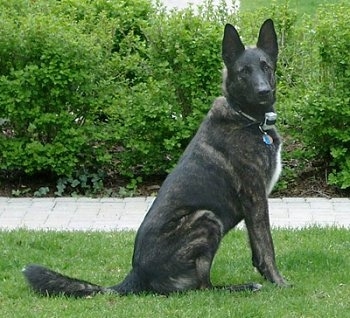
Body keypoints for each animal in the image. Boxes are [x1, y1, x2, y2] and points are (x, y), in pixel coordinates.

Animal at [22, 19, 290, 298]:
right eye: (243, 71)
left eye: (265, 66)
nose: (263, 91)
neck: (247, 118)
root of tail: (137, 273)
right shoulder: (255, 197)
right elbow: (267, 246)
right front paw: (280, 283)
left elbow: (257, 250)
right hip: (206, 218)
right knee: (203, 287)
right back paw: (241, 287)